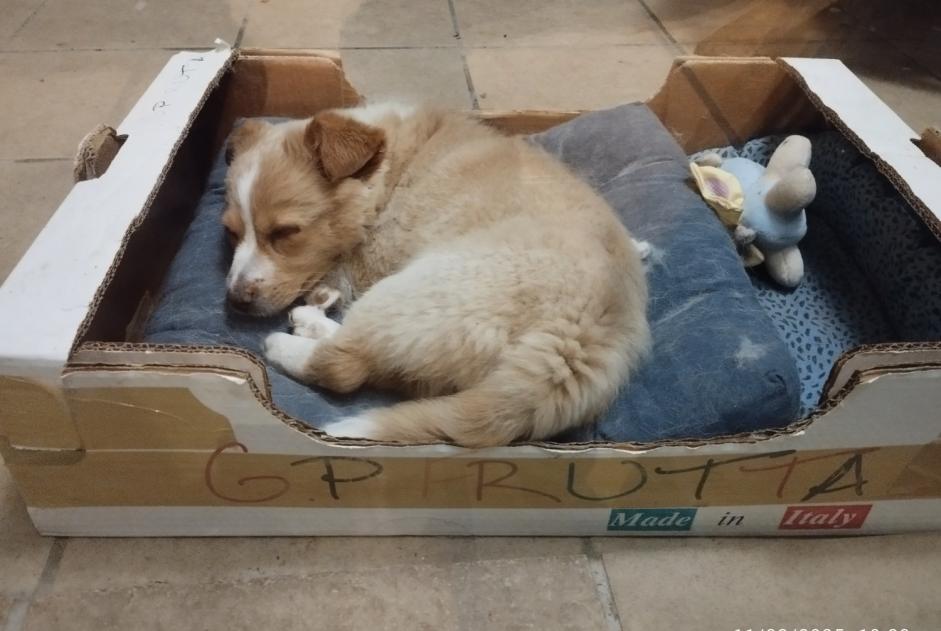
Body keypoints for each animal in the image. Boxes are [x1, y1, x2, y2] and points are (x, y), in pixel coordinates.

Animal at [222, 103, 648, 446]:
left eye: (285, 232)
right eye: (231, 231)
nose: (236, 301)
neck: (383, 177)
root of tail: (577, 341)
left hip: (411, 290)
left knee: (344, 362)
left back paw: (287, 337)